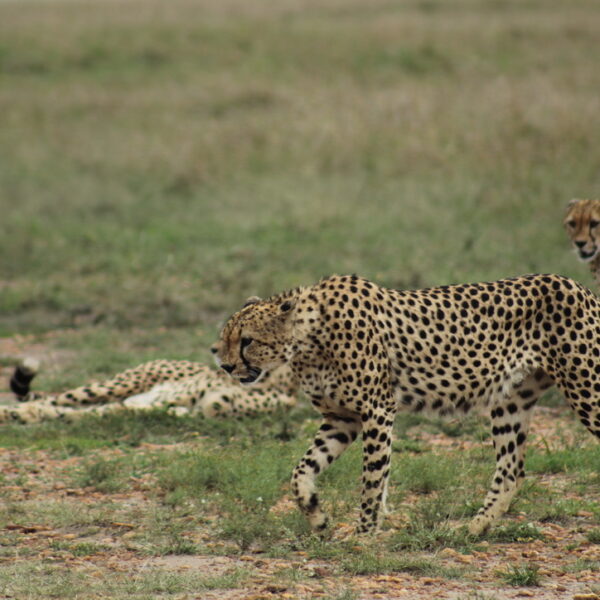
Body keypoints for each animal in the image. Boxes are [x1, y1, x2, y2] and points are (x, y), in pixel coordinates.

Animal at [213, 273, 600, 536]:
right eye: (225, 338)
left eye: (247, 341)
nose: (226, 365)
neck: (307, 339)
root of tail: (577, 285)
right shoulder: (341, 418)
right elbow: (301, 472)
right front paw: (317, 517)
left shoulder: (377, 410)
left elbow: (372, 479)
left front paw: (364, 534)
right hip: (512, 400)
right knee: (511, 472)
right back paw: (472, 528)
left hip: (587, 390)